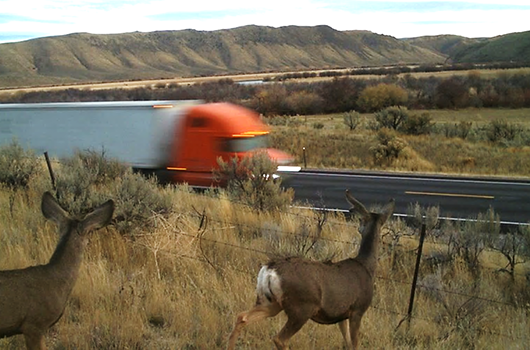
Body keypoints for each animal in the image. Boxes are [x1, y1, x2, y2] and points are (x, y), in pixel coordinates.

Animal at [227, 190, 392, 348]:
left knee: (242, 317)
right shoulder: (358, 310)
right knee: (280, 339)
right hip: (302, 307)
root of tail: (270, 272)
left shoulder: (341, 314)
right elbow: (355, 344)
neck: (366, 266)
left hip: (270, 302)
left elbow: (348, 343)